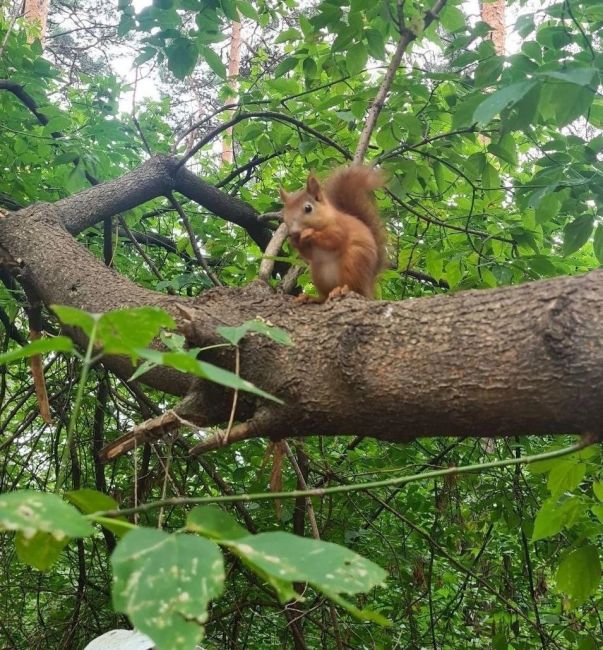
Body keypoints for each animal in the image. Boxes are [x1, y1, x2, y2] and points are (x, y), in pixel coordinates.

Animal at [280, 165, 386, 302]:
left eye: (308, 208)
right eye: (284, 215)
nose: (293, 232)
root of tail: (367, 287)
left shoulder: (340, 228)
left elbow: (333, 240)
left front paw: (309, 233)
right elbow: (309, 254)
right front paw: (294, 242)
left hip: (354, 262)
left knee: (354, 287)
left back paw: (341, 289)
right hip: (318, 274)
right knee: (324, 296)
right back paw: (310, 297)